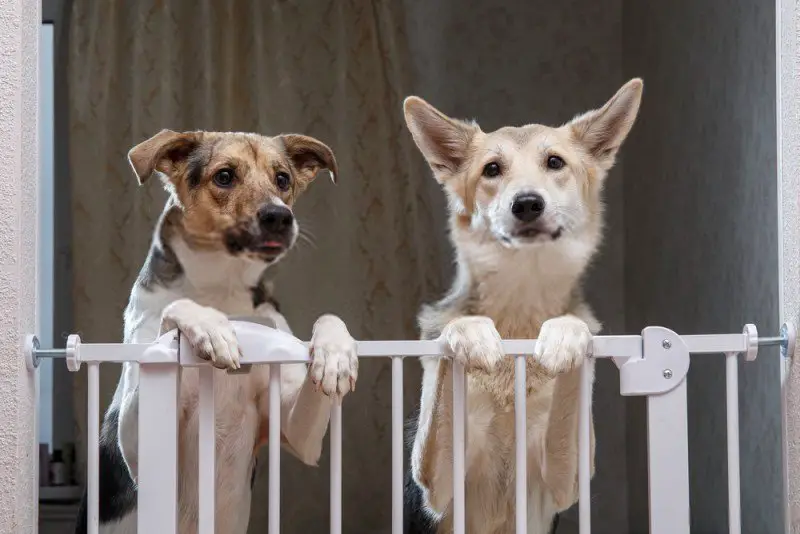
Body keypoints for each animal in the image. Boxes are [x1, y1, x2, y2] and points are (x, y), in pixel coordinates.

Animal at [76, 131, 360, 534]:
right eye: (224, 176)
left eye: (283, 179)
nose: (280, 217)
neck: (222, 286)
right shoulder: (137, 445)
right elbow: (177, 307)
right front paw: (212, 329)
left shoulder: (297, 432)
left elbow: (329, 318)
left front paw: (336, 355)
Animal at [404, 80, 640, 534]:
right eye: (492, 169)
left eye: (555, 162)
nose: (527, 203)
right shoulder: (435, 484)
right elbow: (452, 347)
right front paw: (470, 333)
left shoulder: (565, 480)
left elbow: (570, 347)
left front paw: (565, 336)